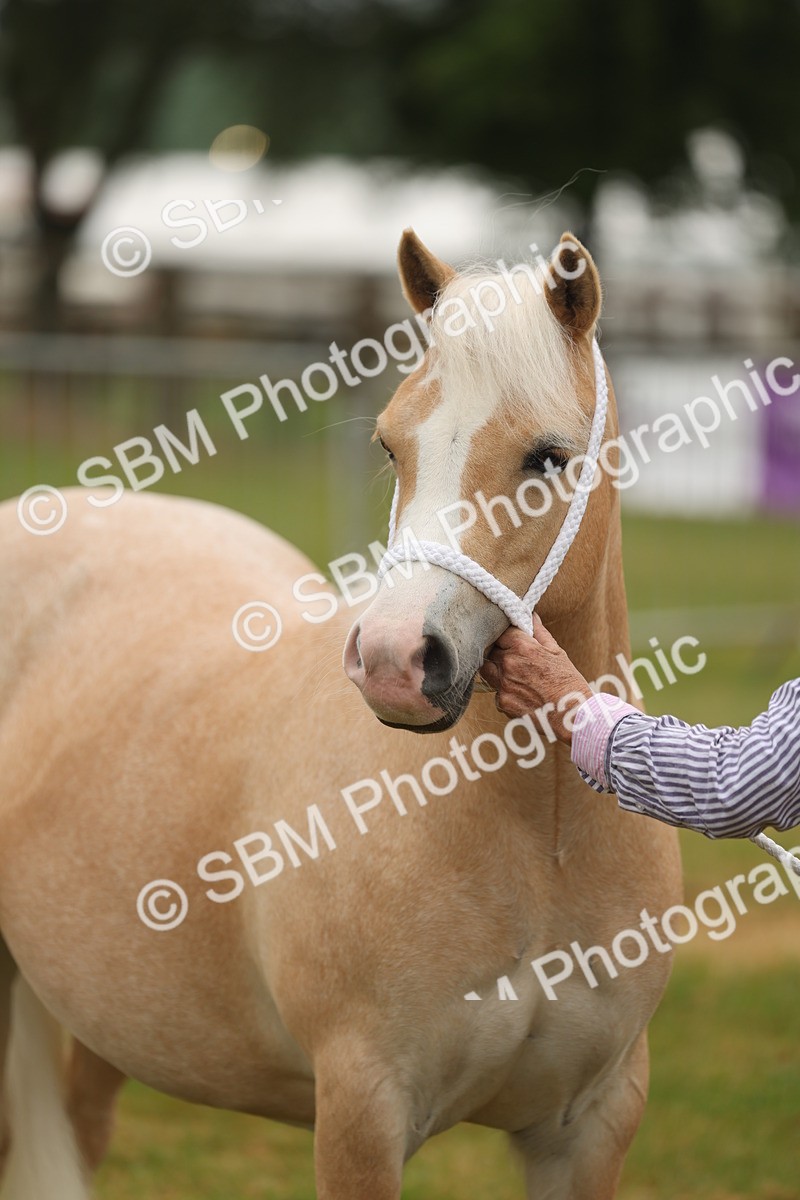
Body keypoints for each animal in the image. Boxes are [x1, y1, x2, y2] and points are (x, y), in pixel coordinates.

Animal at [0, 230, 681, 1199]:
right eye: (392, 448)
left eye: (548, 456)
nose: (396, 661)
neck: (541, 842)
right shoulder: (363, 1111)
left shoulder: (590, 1124)